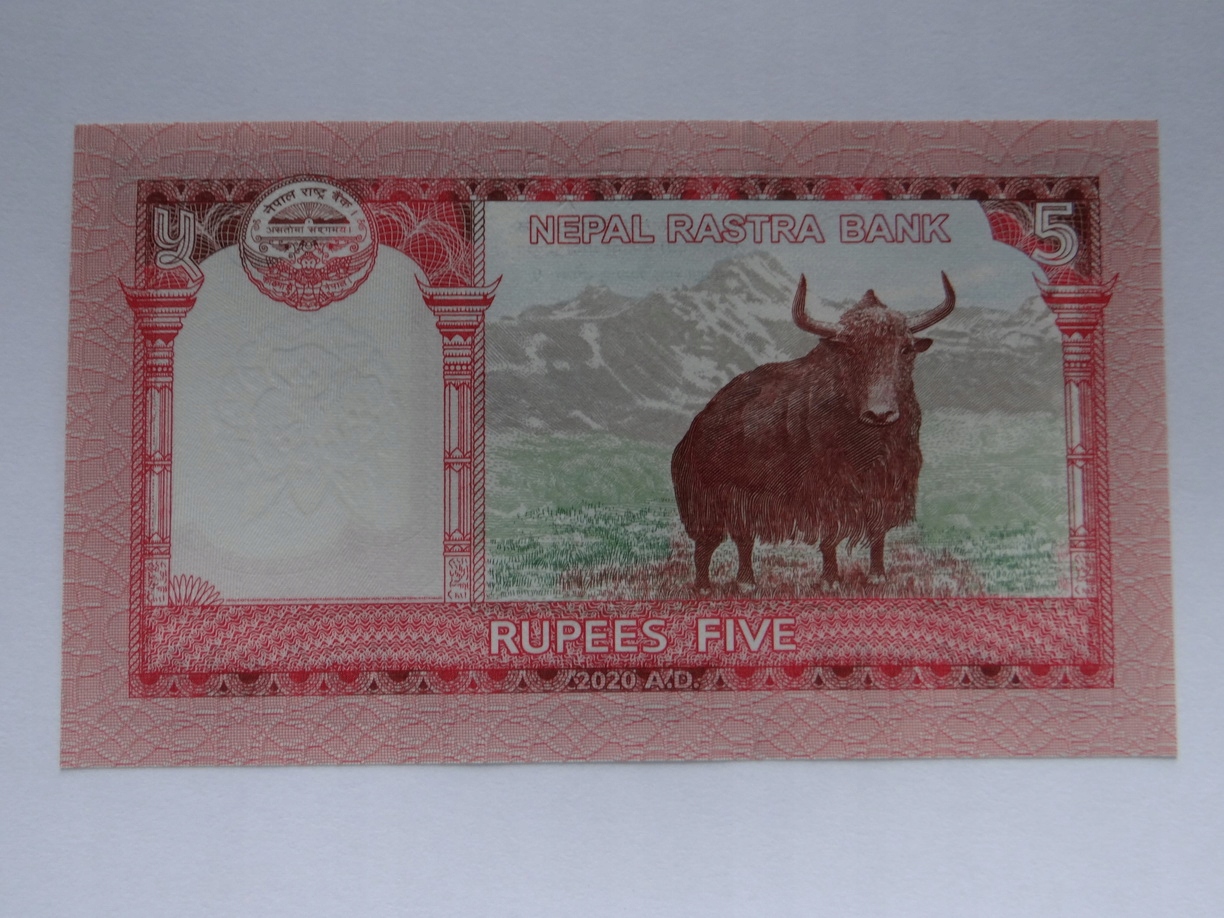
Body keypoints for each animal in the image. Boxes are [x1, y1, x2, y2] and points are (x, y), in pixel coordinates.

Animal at [670, 272, 955, 591]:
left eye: (904, 350)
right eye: (852, 351)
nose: (880, 414)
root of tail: (696, 426)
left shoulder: (883, 489)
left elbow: (878, 532)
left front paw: (877, 576)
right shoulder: (824, 492)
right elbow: (829, 535)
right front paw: (830, 580)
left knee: (744, 540)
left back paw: (747, 582)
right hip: (706, 502)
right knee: (707, 544)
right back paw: (706, 586)